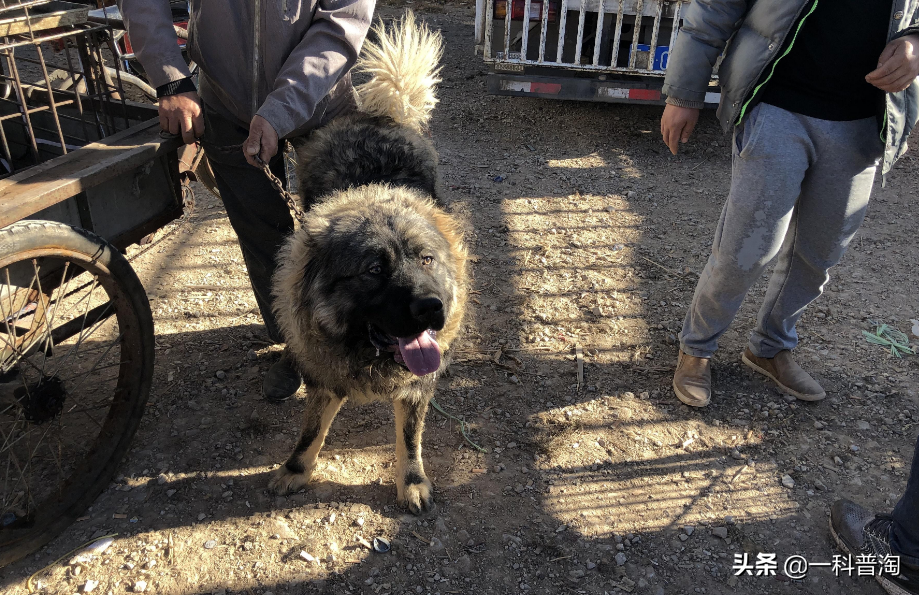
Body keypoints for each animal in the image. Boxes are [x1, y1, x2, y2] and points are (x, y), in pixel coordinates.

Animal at [266, 11, 468, 516]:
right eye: (374, 270)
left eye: (426, 259)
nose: (432, 307)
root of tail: (379, 113)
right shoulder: (323, 376)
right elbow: (310, 431)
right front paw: (295, 470)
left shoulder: (416, 386)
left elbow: (410, 439)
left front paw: (411, 481)